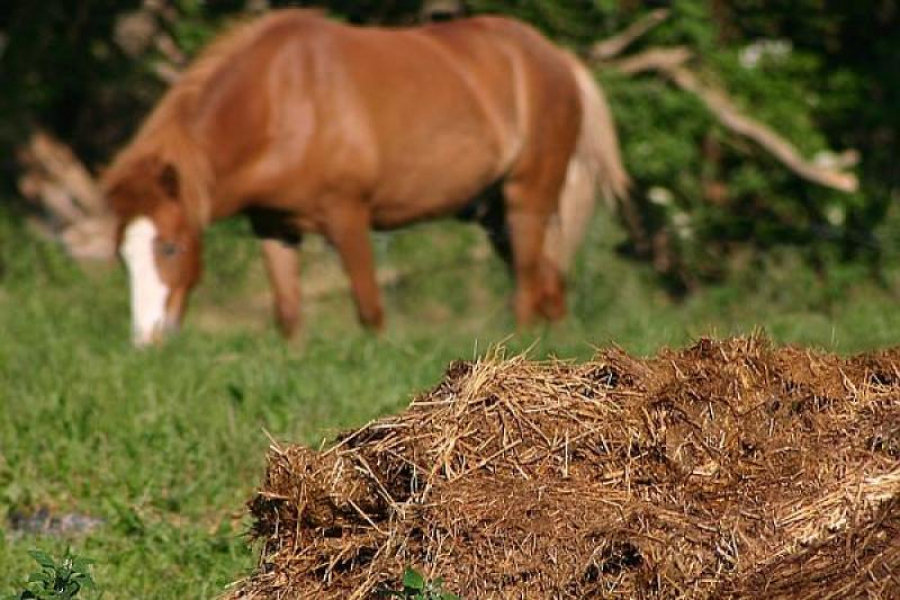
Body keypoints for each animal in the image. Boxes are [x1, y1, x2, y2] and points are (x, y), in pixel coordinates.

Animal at [105, 8, 624, 346]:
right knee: (549, 283)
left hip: (527, 198)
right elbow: (288, 314)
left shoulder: (348, 216)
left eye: (171, 247)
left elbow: (370, 309)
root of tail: (558, 58)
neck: (281, 100)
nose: (146, 339)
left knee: (527, 286)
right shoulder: (274, 226)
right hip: (494, 214)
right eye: (123, 256)